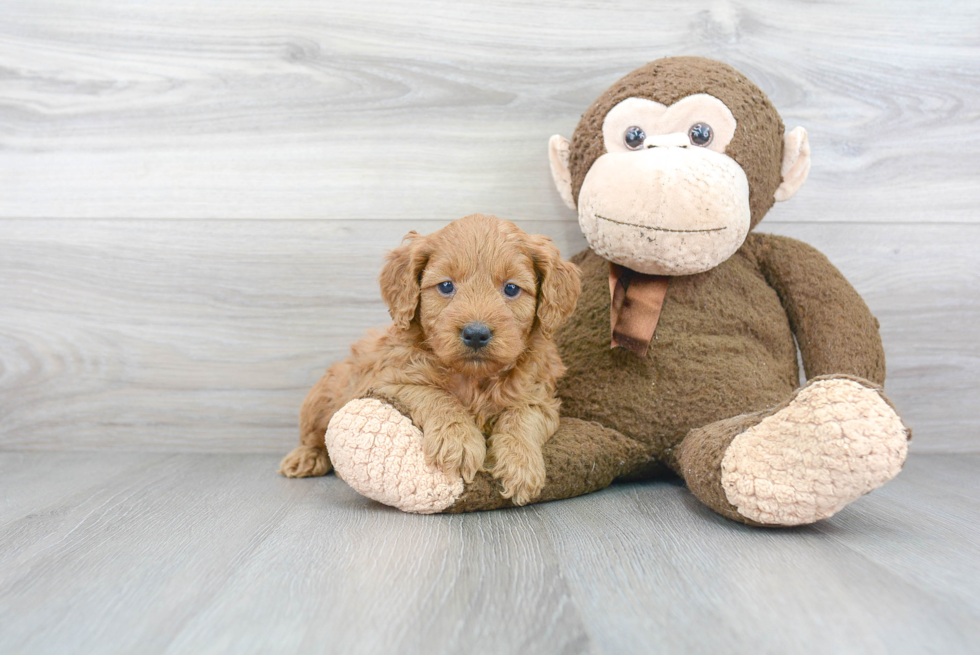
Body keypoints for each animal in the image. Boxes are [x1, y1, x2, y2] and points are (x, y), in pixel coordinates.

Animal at [278, 215, 580, 508]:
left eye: (511, 288)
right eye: (446, 286)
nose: (476, 333)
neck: (473, 379)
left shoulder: (539, 396)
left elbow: (522, 417)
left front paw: (521, 464)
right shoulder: (387, 381)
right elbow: (435, 394)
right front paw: (458, 441)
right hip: (322, 398)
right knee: (314, 434)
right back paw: (305, 457)